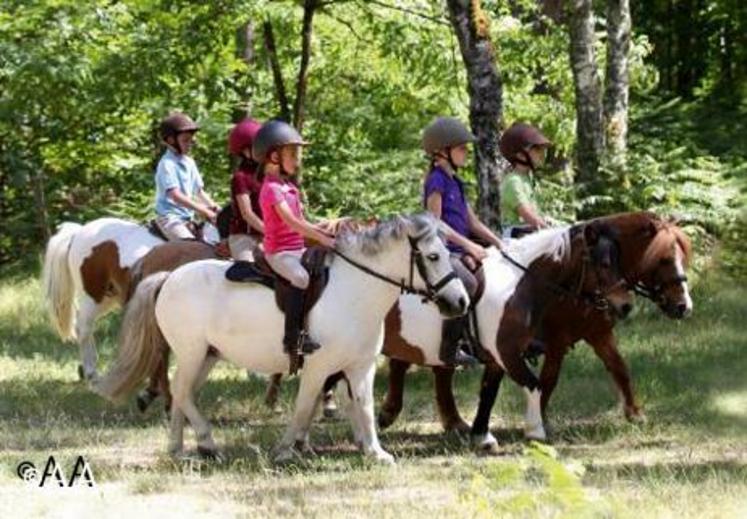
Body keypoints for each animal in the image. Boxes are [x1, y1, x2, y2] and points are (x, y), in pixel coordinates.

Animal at [93, 213, 468, 466]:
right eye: (433, 256)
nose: (461, 301)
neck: (354, 291)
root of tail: (168, 277)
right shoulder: (319, 367)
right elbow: (304, 407)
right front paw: (287, 449)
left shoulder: (360, 366)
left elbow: (364, 406)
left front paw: (376, 452)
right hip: (191, 352)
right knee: (181, 391)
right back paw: (207, 442)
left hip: (207, 355)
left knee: (183, 393)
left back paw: (180, 448)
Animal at [376, 211, 692, 450]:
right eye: (664, 259)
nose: (683, 307)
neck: (522, 284)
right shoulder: (535, 345)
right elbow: (540, 382)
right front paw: (537, 427)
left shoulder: (590, 335)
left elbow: (490, 391)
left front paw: (482, 435)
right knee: (405, 365)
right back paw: (389, 416)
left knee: (428, 369)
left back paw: (445, 421)